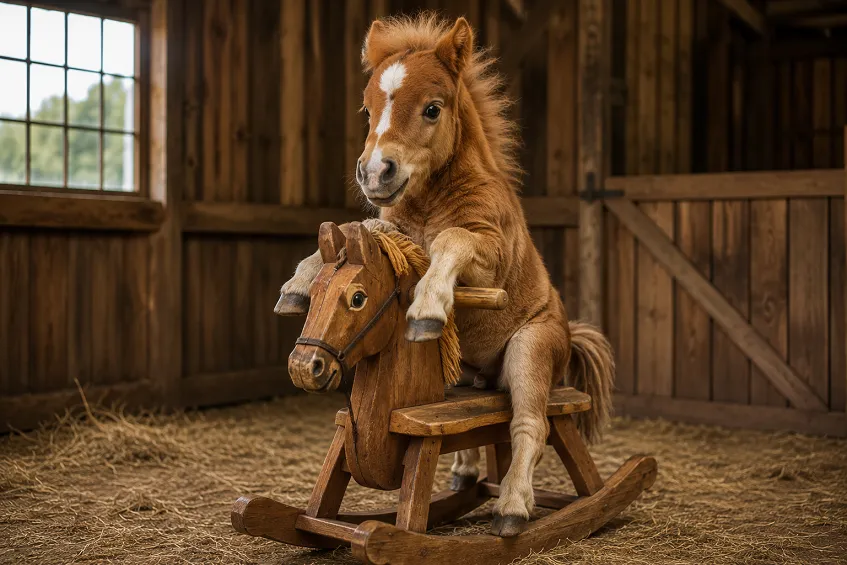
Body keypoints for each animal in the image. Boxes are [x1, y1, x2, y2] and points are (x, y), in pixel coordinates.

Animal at [279, 14, 615, 537]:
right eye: (367, 109)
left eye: (432, 109)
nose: (375, 173)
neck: (430, 199)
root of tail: (568, 333)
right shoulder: (396, 229)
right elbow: (365, 228)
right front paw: (296, 286)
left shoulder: (489, 259)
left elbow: (450, 240)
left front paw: (428, 308)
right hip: (462, 370)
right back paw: (465, 475)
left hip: (531, 349)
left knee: (529, 424)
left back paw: (513, 509)